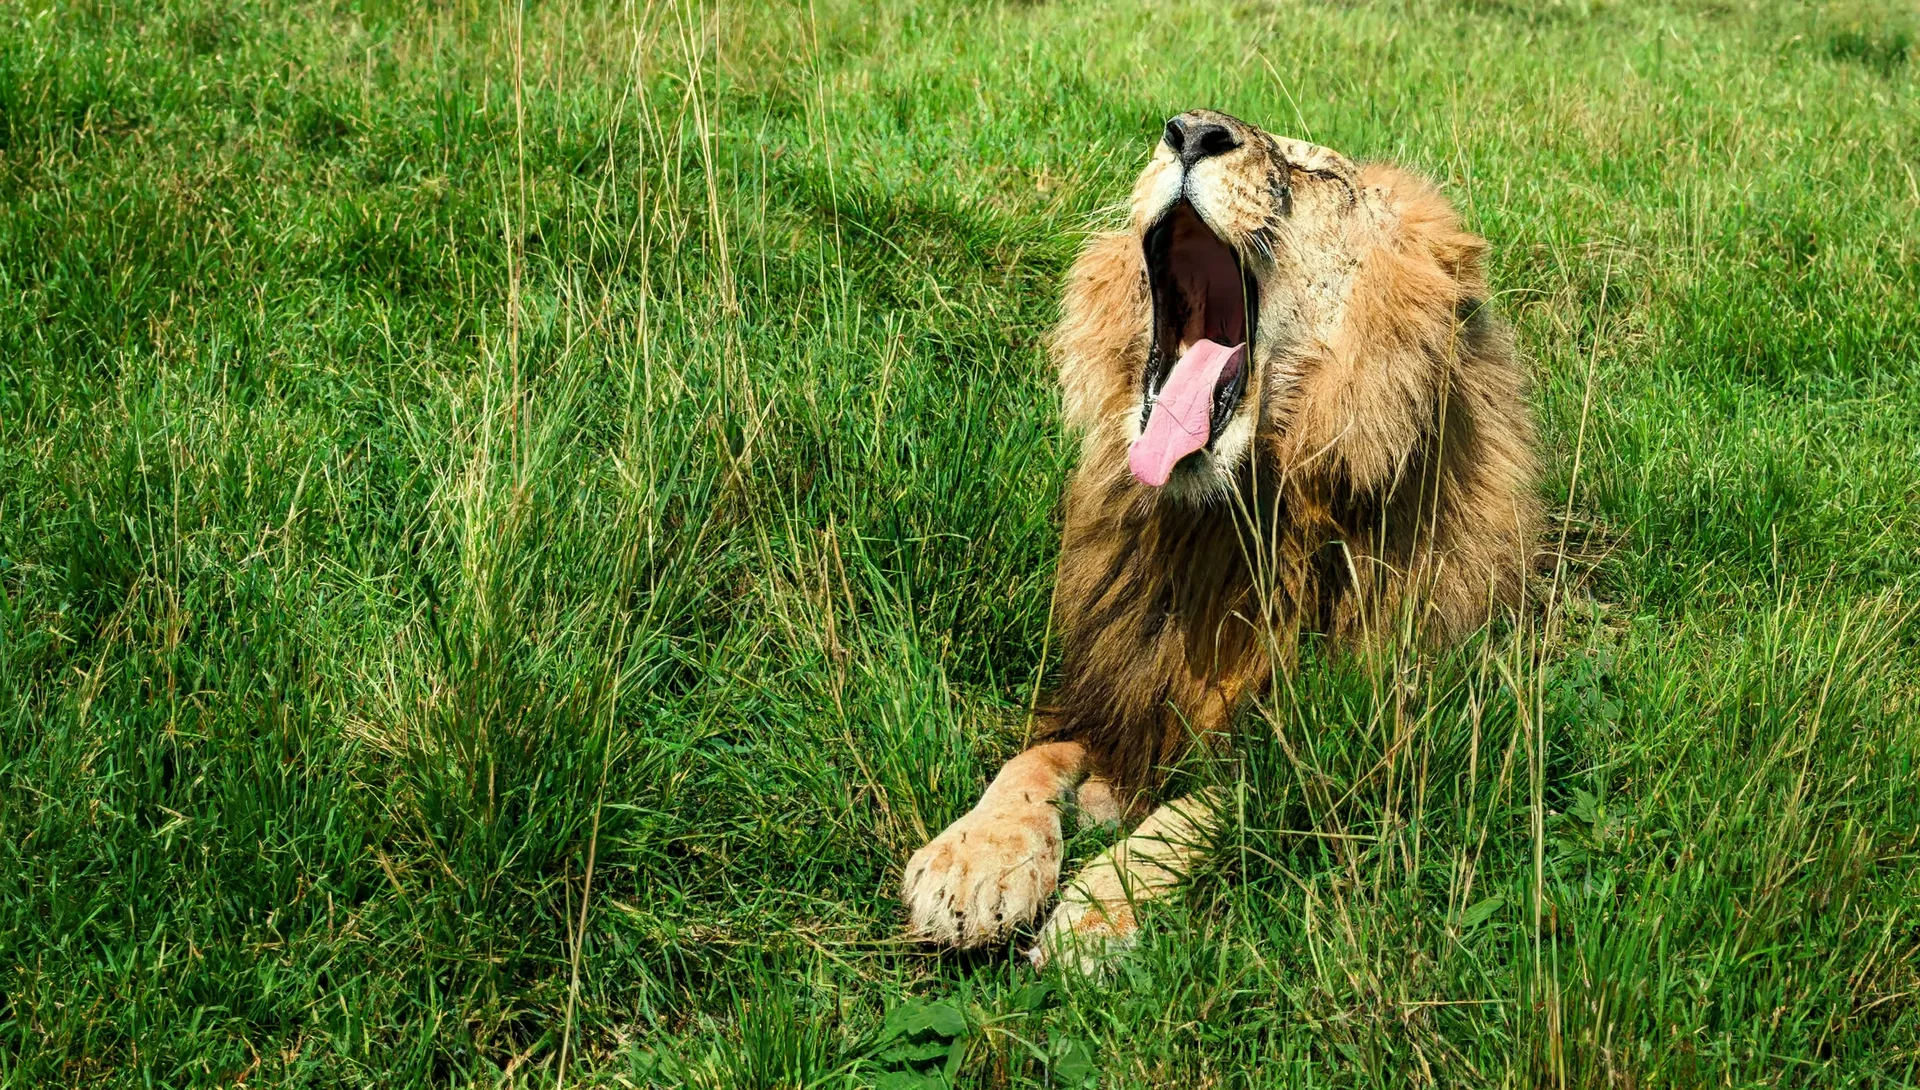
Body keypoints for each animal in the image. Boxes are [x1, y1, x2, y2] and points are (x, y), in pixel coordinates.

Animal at [900, 111, 1541, 970]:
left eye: (1325, 177)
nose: (1194, 130)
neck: (1224, 533)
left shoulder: (1348, 747)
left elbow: (1207, 807)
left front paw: (1099, 910)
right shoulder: (1110, 695)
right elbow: (1028, 760)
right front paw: (972, 863)